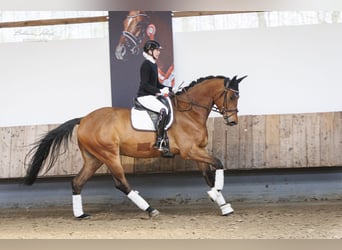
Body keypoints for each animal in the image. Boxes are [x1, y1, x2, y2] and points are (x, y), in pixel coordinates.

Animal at [24, 74, 246, 219]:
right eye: (232, 96)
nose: (232, 121)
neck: (190, 112)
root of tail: (84, 119)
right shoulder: (190, 151)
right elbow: (219, 164)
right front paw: (216, 195)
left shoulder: (199, 151)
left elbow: (209, 176)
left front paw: (223, 205)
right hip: (110, 155)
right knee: (121, 183)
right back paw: (150, 210)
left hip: (94, 158)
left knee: (77, 182)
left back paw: (80, 215)